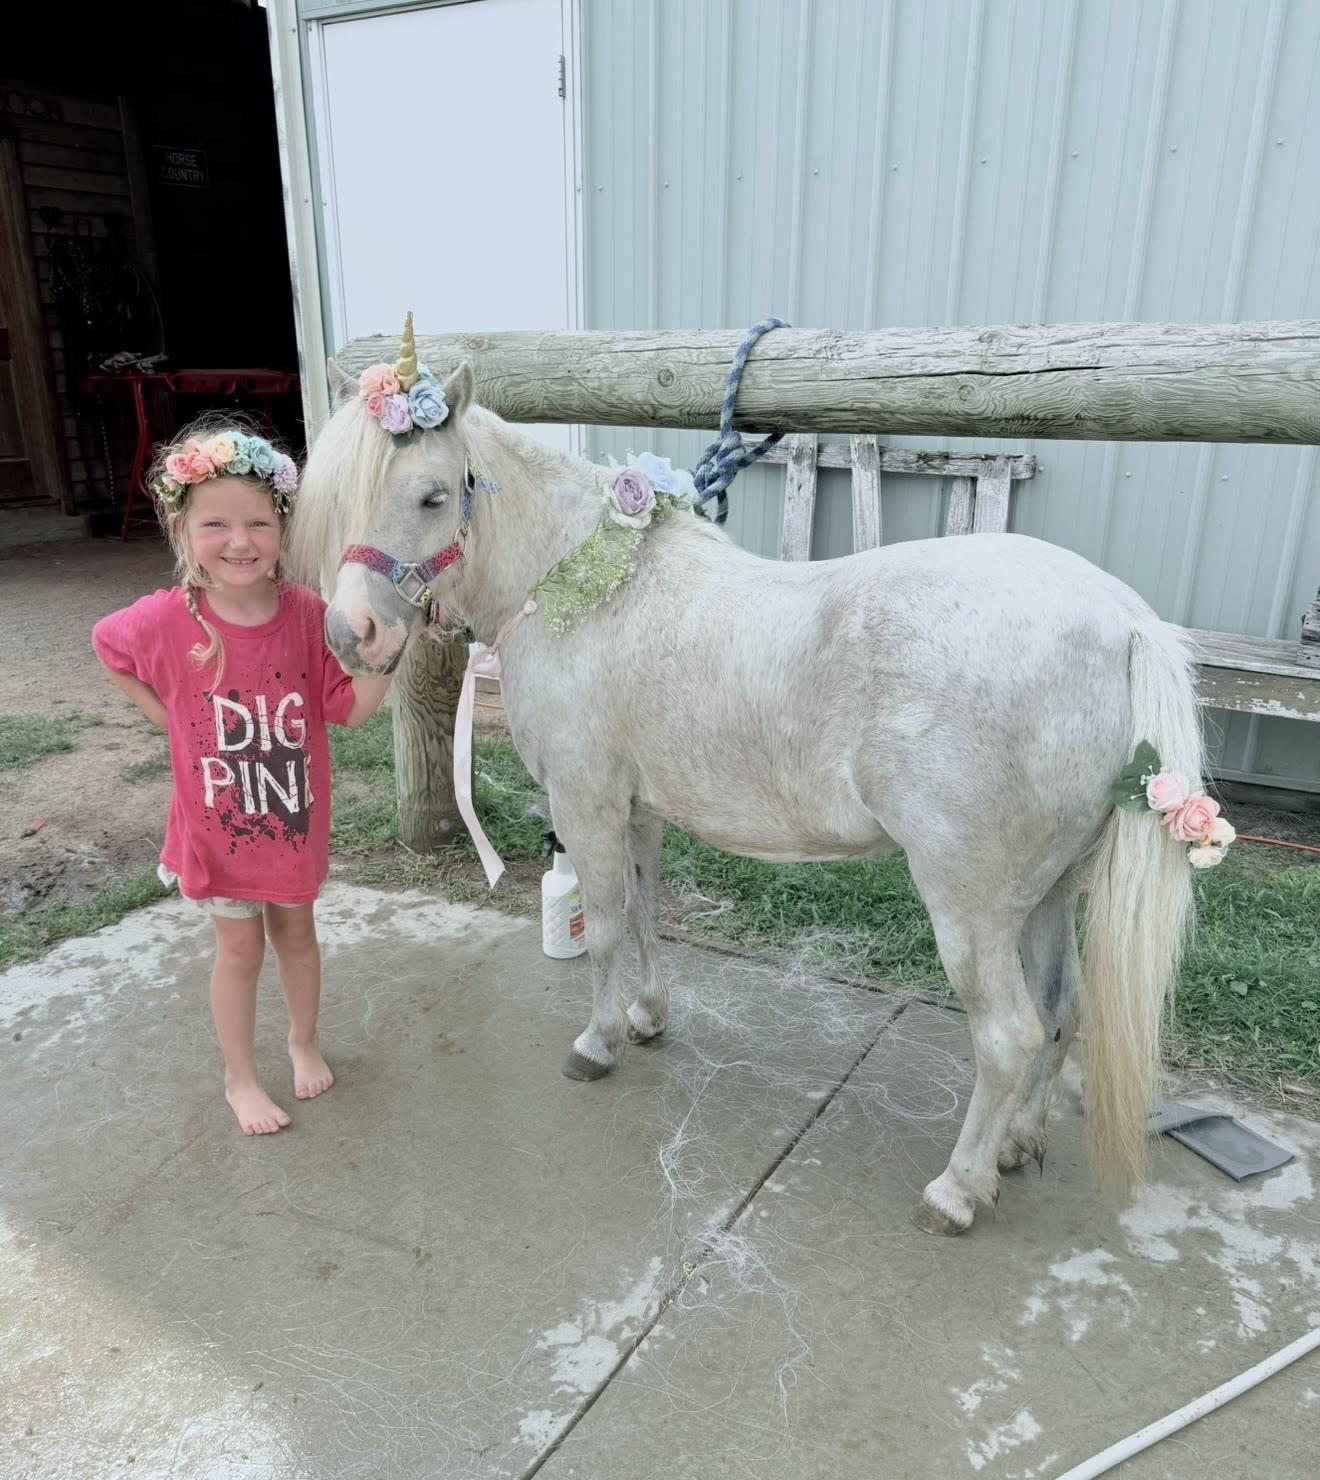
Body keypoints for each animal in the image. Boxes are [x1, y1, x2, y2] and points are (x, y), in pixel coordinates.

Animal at [290, 355, 1204, 1237]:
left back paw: (957, 1190)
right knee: (1061, 1012)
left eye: (433, 495)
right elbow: (646, 914)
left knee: (1009, 1034)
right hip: (1048, 892)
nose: (351, 636)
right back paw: (1015, 1145)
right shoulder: (637, 812)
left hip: (973, 904)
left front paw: (597, 1042)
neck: (588, 587)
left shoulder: (587, 806)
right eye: (344, 498)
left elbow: (607, 928)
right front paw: (646, 1017)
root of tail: (1125, 624)